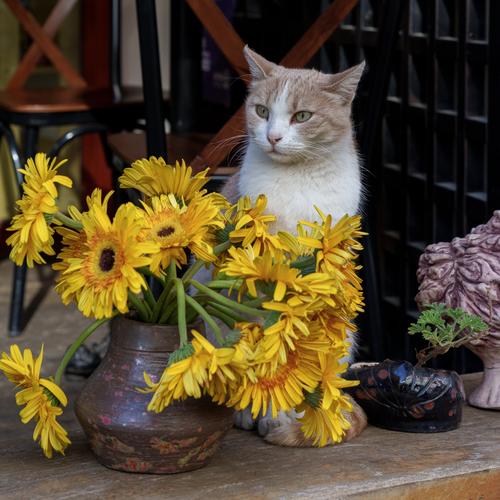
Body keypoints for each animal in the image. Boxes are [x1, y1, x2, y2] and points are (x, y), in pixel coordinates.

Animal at [223, 47, 368, 446]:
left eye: (302, 116)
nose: (273, 137)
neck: (297, 178)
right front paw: (266, 410)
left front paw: (283, 414)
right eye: (261, 111)